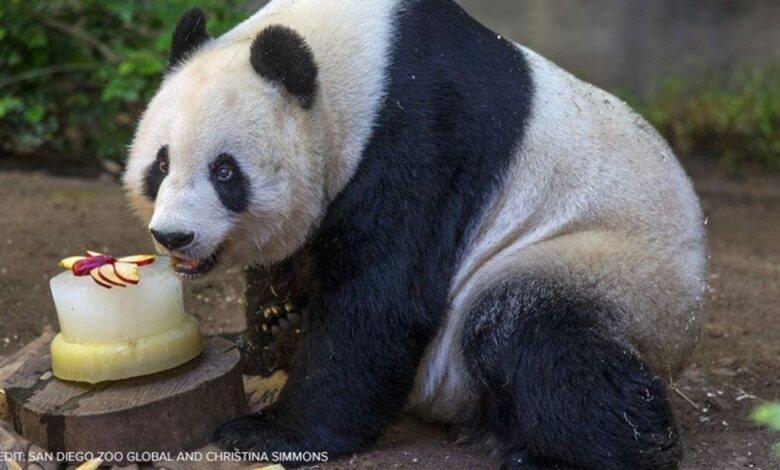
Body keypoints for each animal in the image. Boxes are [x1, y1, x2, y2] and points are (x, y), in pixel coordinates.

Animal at [122, 1, 708, 468]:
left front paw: (270, 433)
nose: (174, 236)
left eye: (225, 172)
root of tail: (680, 339)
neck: (361, 64)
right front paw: (260, 339)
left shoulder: (422, 138)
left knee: (536, 339)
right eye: (161, 164)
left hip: (606, 268)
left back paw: (584, 452)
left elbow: (381, 298)